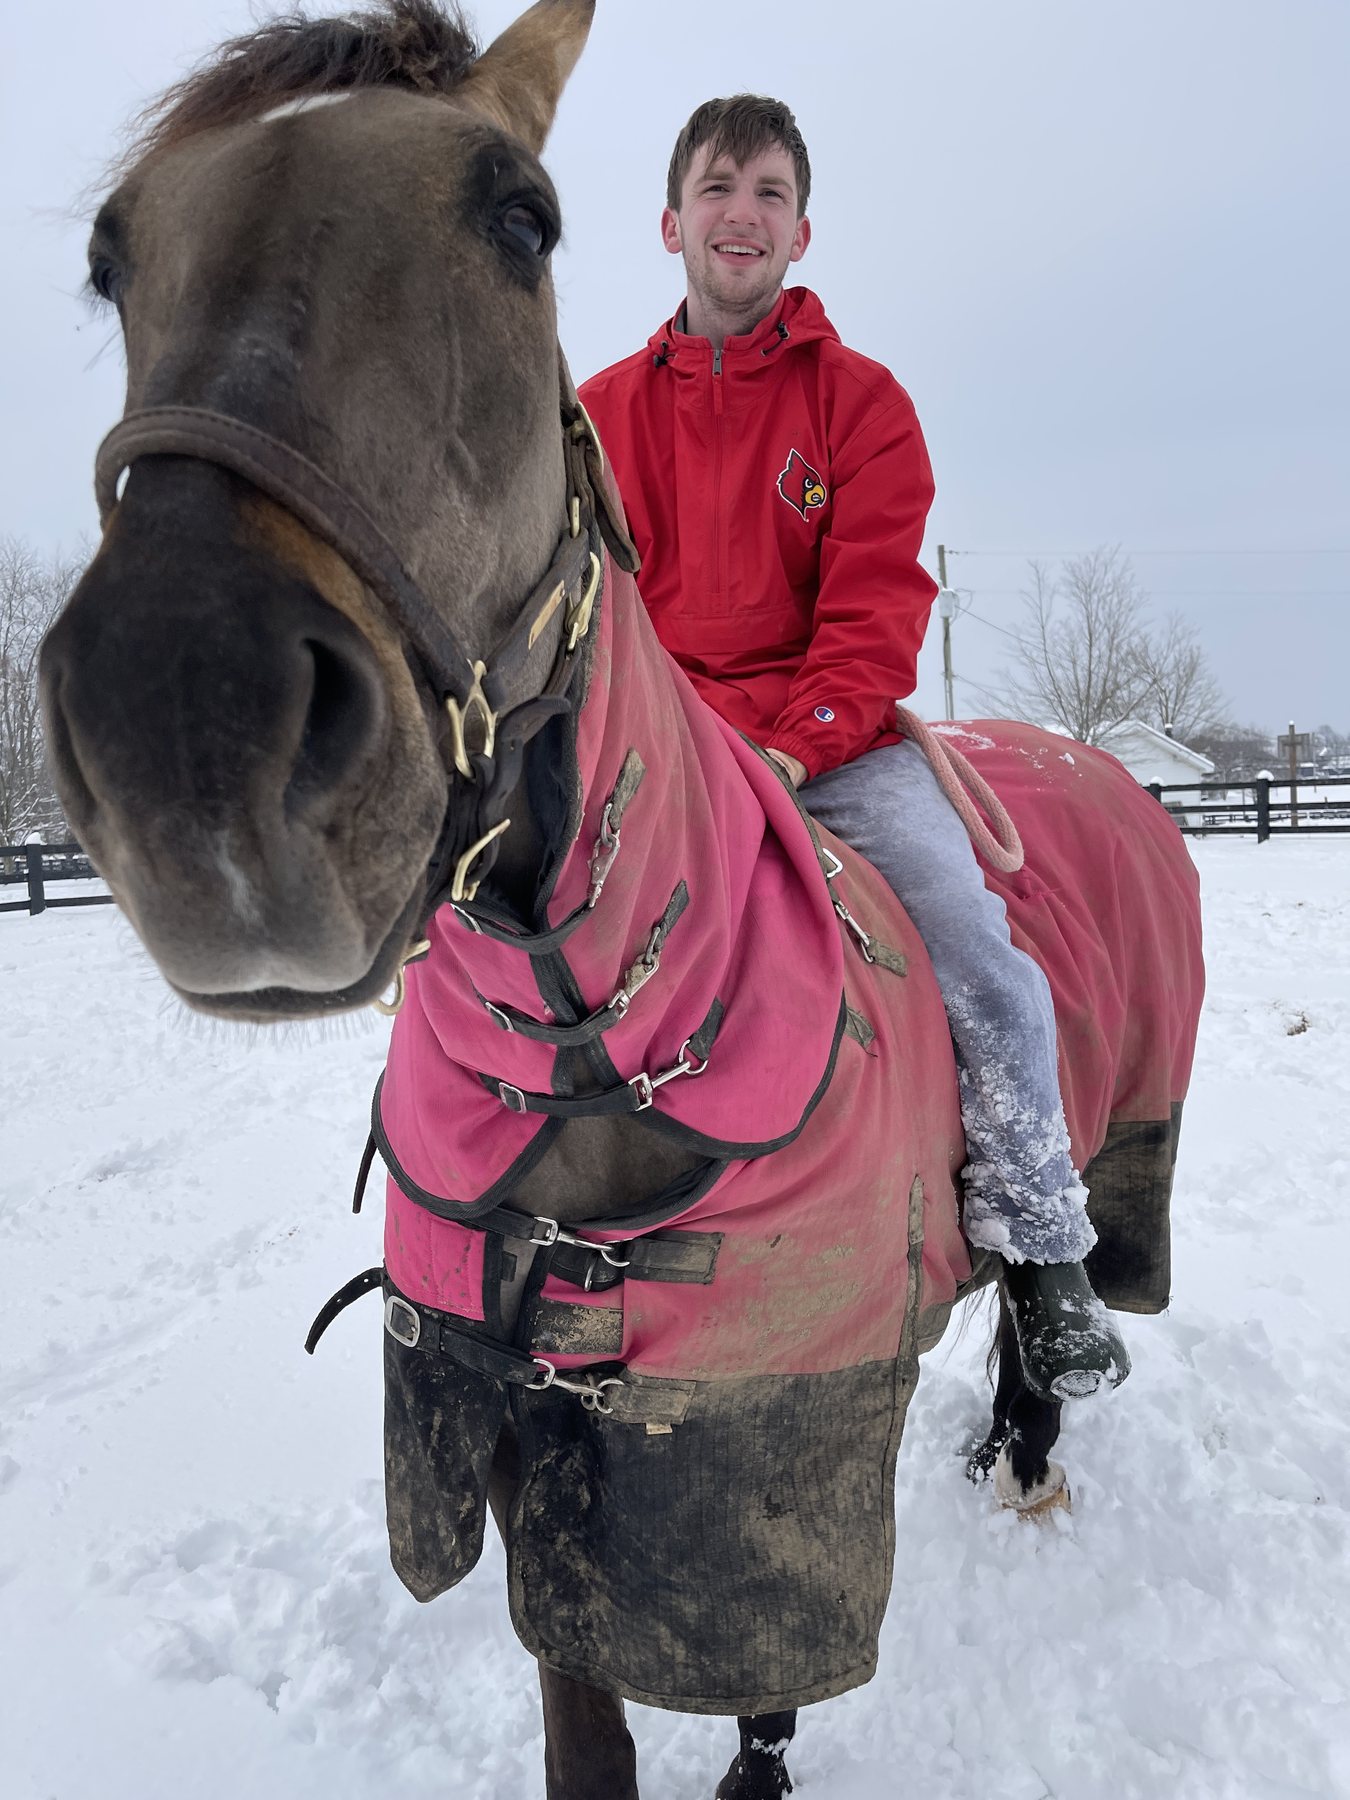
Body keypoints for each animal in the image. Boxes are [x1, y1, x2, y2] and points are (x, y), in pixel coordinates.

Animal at [39, 4, 1203, 1796]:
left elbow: (753, 1688)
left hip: (1101, 1126)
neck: (595, 1054)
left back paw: (1033, 1435)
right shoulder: (517, 1417)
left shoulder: (757, 1429)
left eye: (521, 218)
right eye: (112, 257)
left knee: (1042, 1280)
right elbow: (582, 1719)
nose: (185, 730)